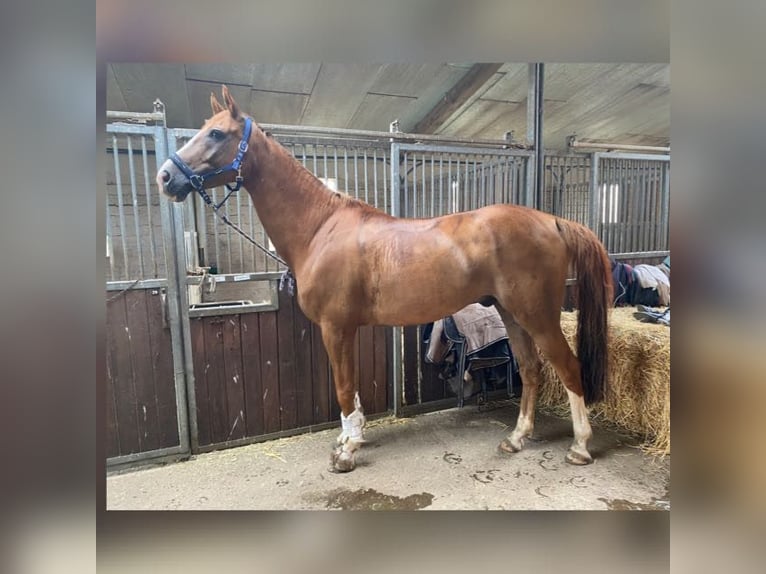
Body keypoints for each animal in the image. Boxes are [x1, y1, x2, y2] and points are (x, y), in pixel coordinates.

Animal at [156, 85, 612, 472]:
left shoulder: (336, 327)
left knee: (567, 367)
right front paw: (350, 439)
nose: (165, 177)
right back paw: (516, 439)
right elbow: (351, 388)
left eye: (216, 133)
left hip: (537, 314)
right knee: (532, 369)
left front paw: (346, 453)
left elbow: (343, 388)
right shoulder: (346, 329)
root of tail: (552, 221)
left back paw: (579, 447)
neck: (321, 228)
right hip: (511, 313)